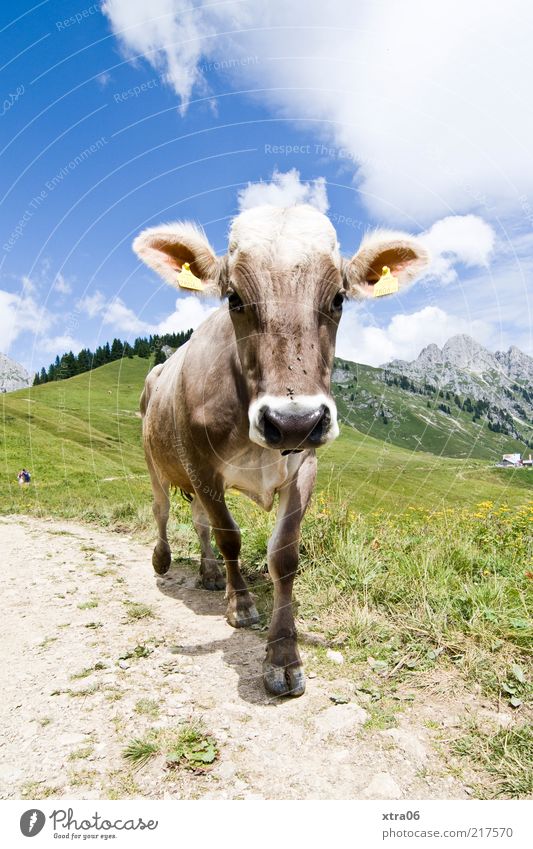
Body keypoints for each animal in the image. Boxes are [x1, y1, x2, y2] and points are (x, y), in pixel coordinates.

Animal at [134, 204, 428, 696]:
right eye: (233, 299)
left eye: (339, 299)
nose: (293, 422)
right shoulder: (204, 468)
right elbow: (230, 536)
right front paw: (241, 607)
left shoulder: (303, 466)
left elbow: (283, 555)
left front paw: (283, 657)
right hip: (157, 460)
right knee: (162, 510)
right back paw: (164, 561)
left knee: (197, 522)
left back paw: (210, 574)